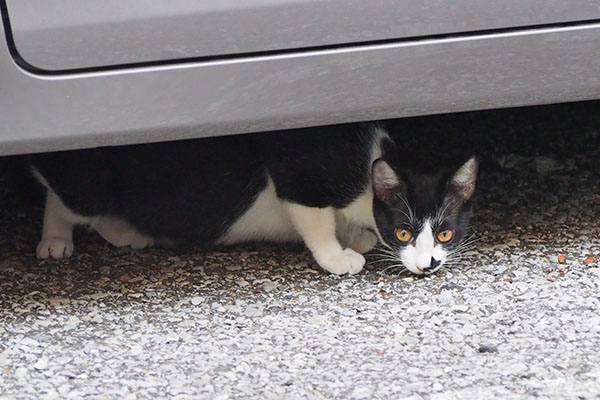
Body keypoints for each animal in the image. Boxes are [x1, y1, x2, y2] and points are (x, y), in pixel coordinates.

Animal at [29, 125, 478, 276]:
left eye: (446, 234)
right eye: (404, 232)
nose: (428, 264)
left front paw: (356, 236)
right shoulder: (299, 177)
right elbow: (316, 223)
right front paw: (338, 255)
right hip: (88, 185)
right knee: (61, 197)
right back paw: (57, 239)